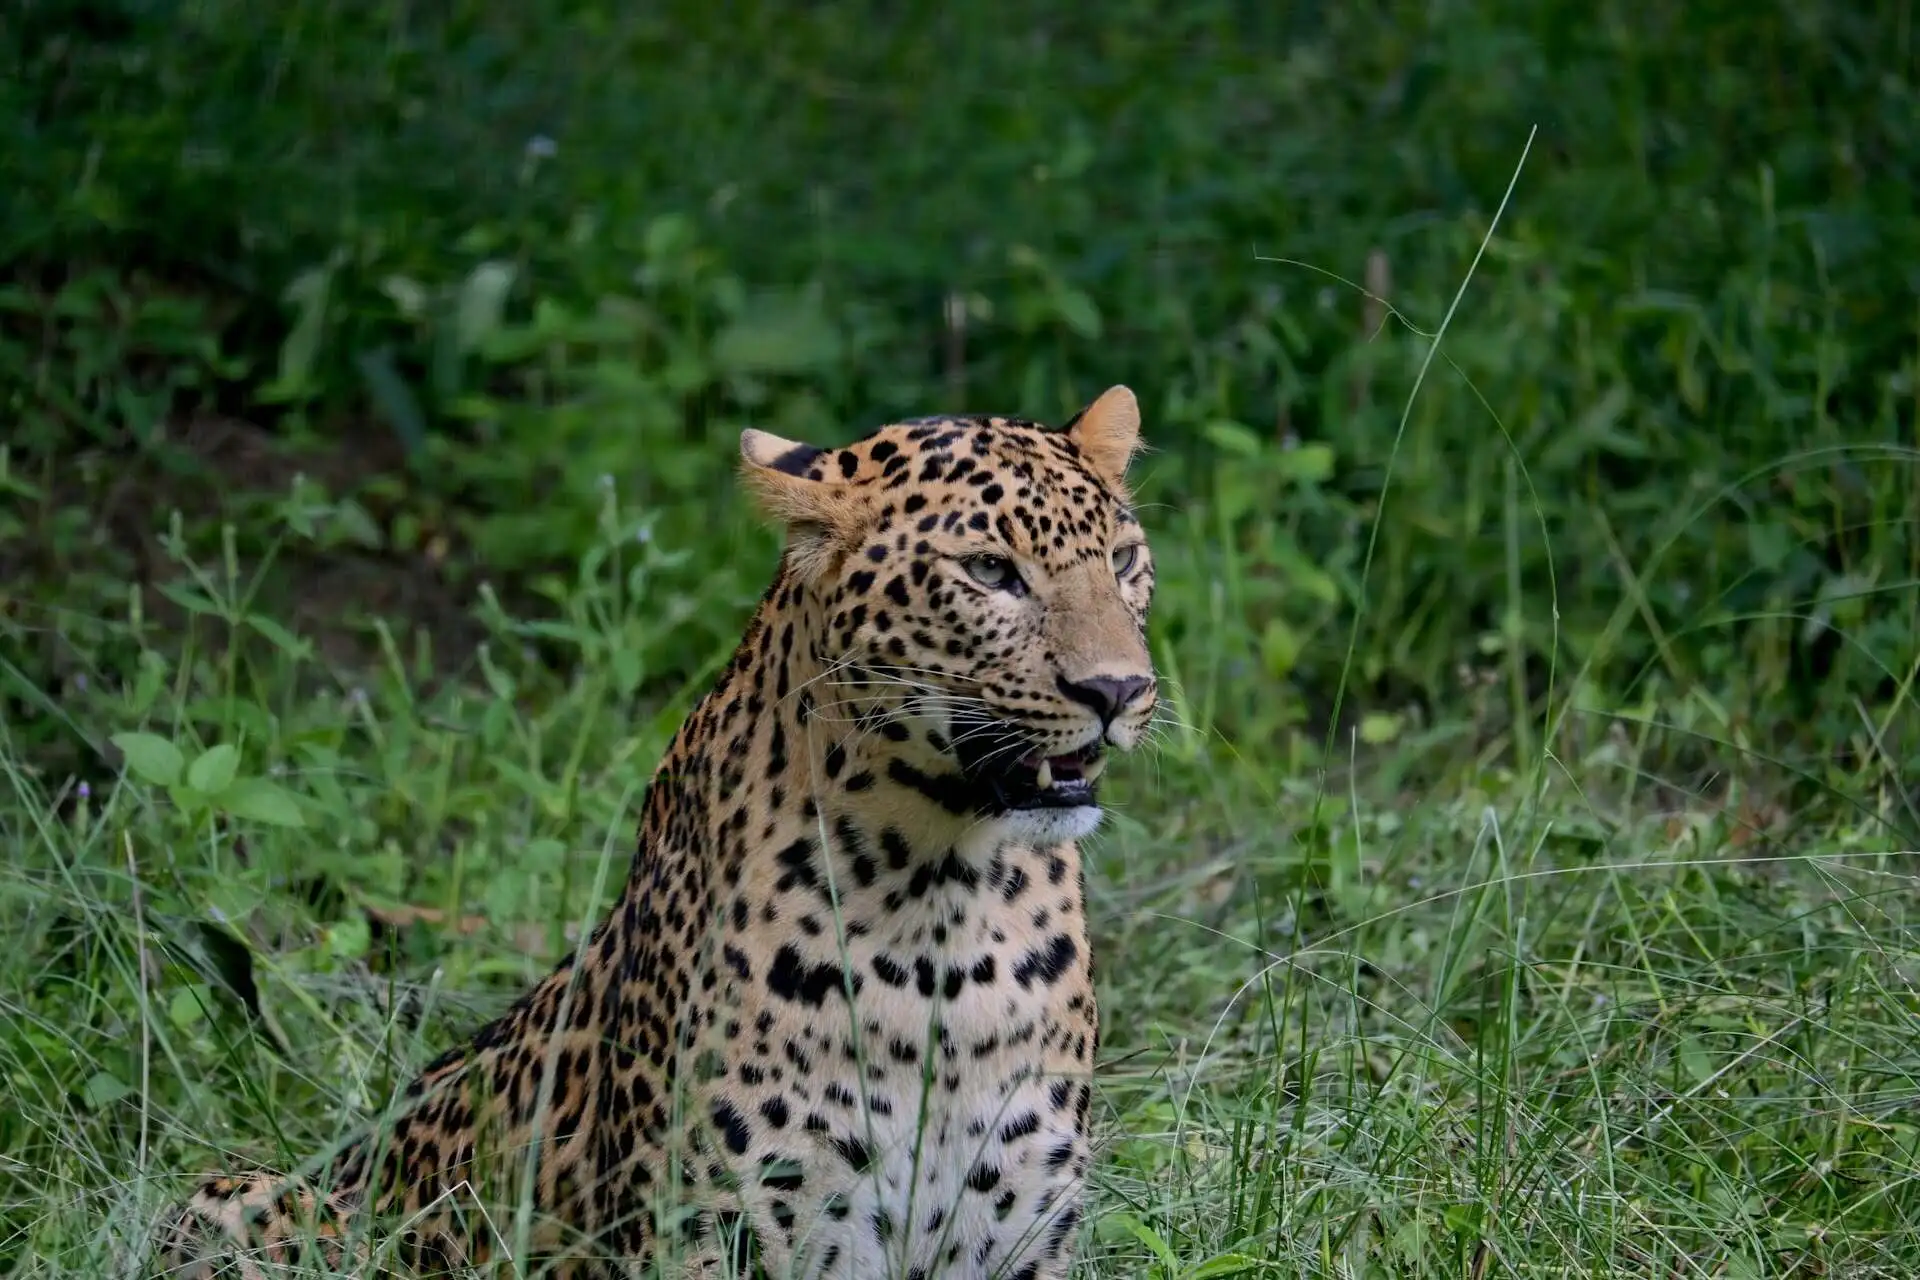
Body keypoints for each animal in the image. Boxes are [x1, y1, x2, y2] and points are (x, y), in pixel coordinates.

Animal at [149, 385, 1159, 1280]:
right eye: (989, 572)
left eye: (1122, 559)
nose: (1119, 690)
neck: (945, 902)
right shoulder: (712, 1234)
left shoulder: (1016, 1238)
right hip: (223, 1202)